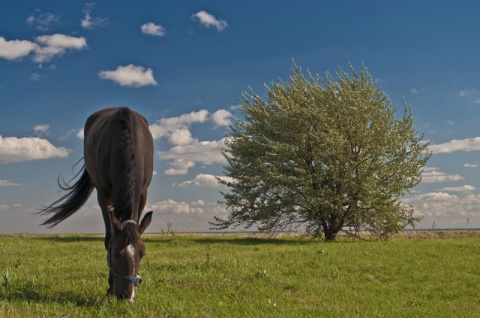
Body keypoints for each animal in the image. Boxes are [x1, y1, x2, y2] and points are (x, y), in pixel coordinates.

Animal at [40, 107, 156, 304]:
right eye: (115, 253)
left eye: (142, 253)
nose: (126, 297)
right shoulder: (104, 194)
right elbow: (108, 237)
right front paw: (110, 288)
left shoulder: (143, 193)